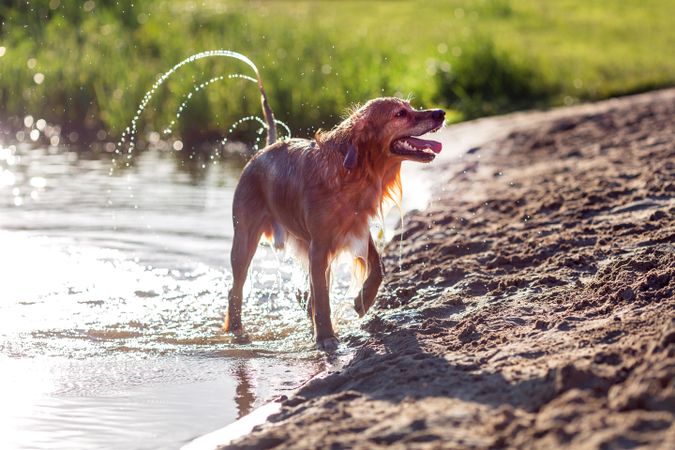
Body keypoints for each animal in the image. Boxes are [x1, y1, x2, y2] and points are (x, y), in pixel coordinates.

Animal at [224, 98, 446, 350]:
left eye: (410, 106)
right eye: (400, 113)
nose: (440, 113)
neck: (352, 172)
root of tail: (262, 151)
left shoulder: (357, 229)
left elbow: (378, 267)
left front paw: (363, 300)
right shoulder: (319, 247)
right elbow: (322, 298)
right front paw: (325, 337)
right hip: (244, 239)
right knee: (235, 290)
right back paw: (236, 330)